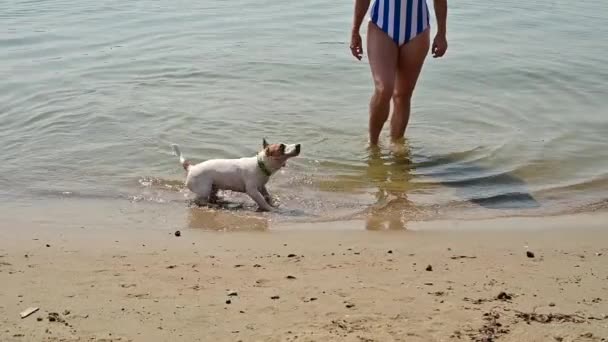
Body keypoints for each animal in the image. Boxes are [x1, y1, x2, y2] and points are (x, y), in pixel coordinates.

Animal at [172, 139, 300, 211]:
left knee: (210, 197)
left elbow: (267, 196)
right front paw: (271, 209)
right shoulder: (252, 191)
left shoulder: (262, 186)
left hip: (214, 187)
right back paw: (213, 205)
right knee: (199, 201)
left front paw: (272, 203)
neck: (260, 164)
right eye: (282, 147)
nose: (299, 145)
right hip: (204, 189)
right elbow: (262, 200)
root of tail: (191, 168)